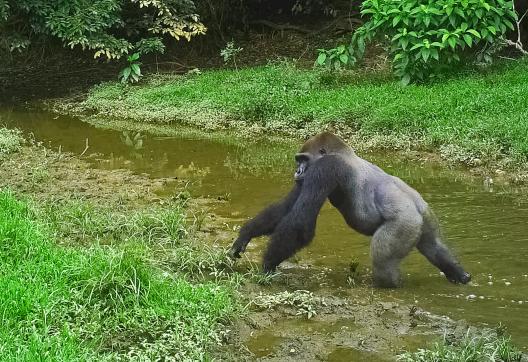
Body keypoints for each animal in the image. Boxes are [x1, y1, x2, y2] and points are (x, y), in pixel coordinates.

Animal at [229, 132, 472, 288]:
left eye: (303, 159)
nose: (297, 171)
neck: (345, 153)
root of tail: (417, 207)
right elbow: (285, 208)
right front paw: (245, 234)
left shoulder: (324, 169)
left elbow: (300, 224)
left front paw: (267, 265)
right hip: (427, 219)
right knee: (435, 247)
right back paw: (460, 275)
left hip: (405, 223)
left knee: (383, 262)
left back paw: (388, 286)